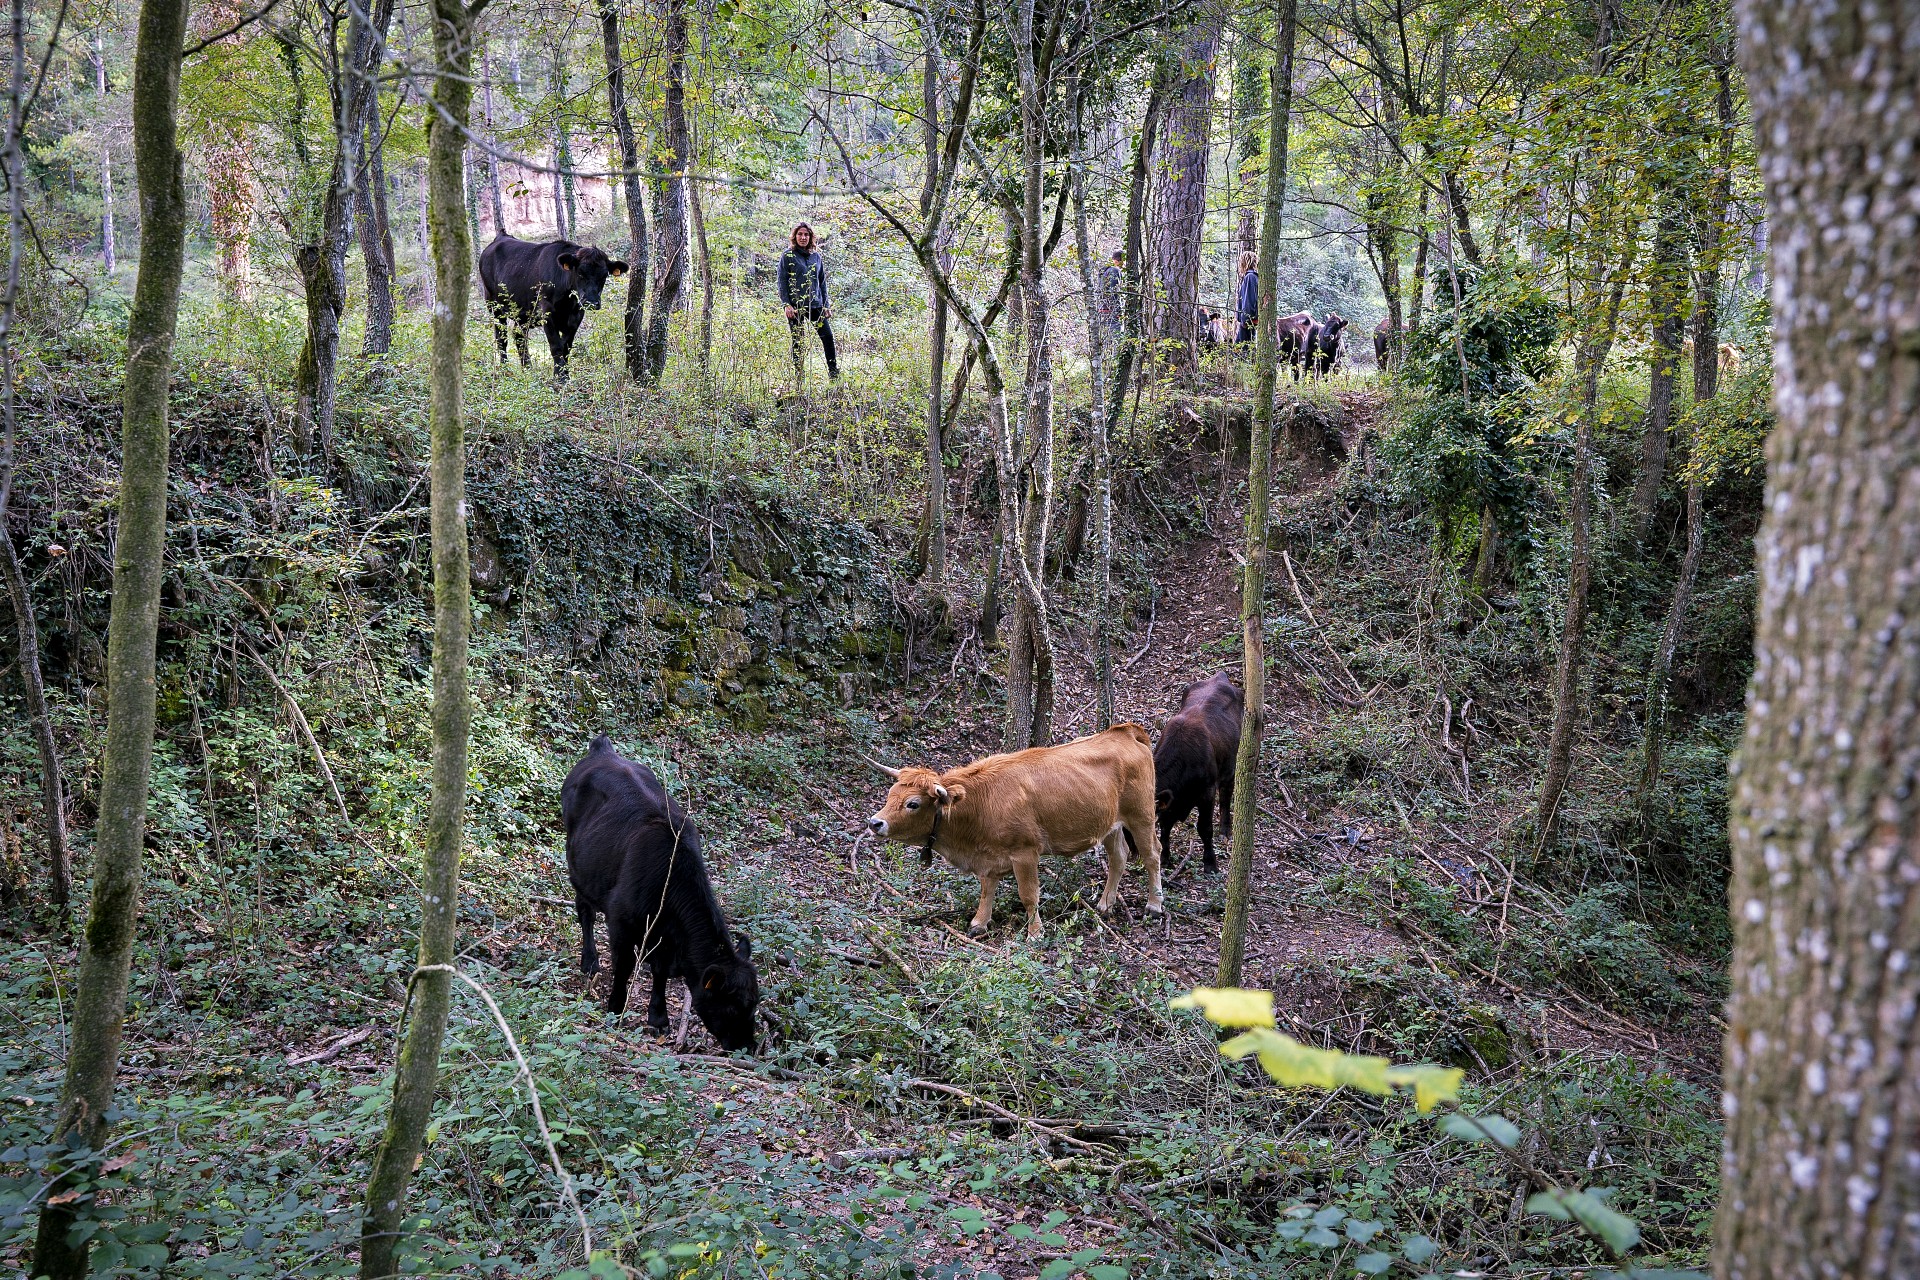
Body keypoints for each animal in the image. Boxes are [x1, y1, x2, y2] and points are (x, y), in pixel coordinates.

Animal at [480, 235, 629, 383]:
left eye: (604, 276)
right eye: (580, 273)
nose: (591, 302)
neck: (567, 300)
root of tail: (501, 237)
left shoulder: (576, 315)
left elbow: (566, 347)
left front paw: (565, 375)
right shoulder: (547, 312)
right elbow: (556, 346)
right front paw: (560, 378)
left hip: (522, 312)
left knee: (519, 336)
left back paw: (528, 369)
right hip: (494, 305)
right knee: (502, 338)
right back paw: (505, 370)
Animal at [560, 729, 756, 1051]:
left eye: (754, 1004)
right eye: (730, 1007)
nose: (747, 1047)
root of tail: (604, 751)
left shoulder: (664, 937)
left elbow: (660, 971)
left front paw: (659, 1017)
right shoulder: (621, 923)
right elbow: (624, 965)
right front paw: (615, 1009)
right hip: (579, 866)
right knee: (585, 911)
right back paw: (589, 961)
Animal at [867, 721, 1159, 940]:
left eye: (912, 804)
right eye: (890, 795)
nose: (874, 823)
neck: (981, 801)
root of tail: (1124, 731)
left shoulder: (1025, 853)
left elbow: (1028, 895)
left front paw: (1035, 933)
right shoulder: (988, 856)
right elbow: (987, 889)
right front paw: (979, 923)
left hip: (1142, 816)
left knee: (1152, 856)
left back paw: (1154, 905)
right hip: (1110, 825)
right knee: (1119, 857)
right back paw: (1105, 904)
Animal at [1152, 675, 1244, 875]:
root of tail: (1220, 676)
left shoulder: (1206, 794)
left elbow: (1204, 828)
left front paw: (1210, 863)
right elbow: (1165, 825)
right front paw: (1164, 858)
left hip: (1230, 767)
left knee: (1226, 796)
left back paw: (1225, 829)